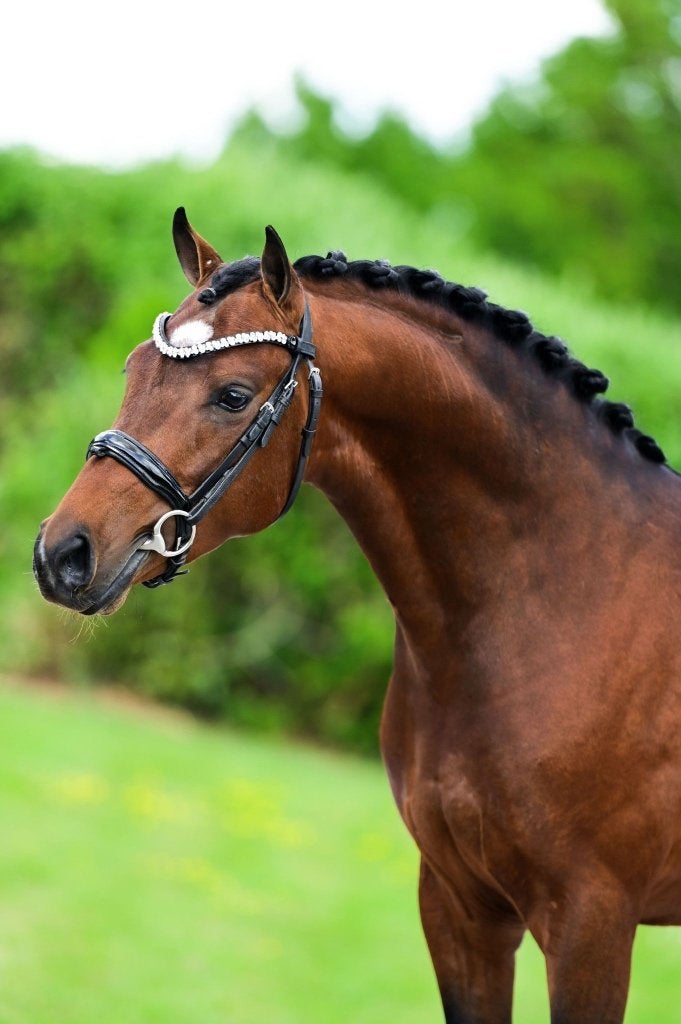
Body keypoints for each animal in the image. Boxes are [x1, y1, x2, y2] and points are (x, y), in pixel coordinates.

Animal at [33, 208, 681, 1024]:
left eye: (233, 395)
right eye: (132, 370)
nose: (62, 554)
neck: (562, 599)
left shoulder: (592, 924)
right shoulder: (459, 907)